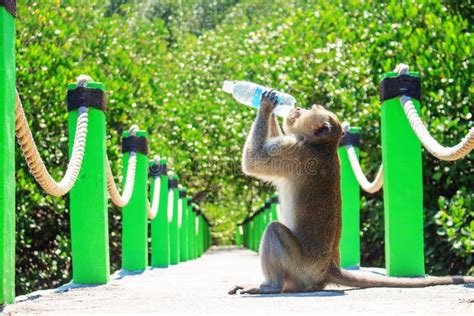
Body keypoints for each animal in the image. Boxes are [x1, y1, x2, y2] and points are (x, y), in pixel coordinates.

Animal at [229, 90, 470, 296]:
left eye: (310, 109)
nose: (296, 108)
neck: (323, 145)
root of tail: (329, 268)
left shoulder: (294, 153)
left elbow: (254, 162)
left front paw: (266, 104)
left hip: (302, 267)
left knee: (274, 231)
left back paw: (271, 286)